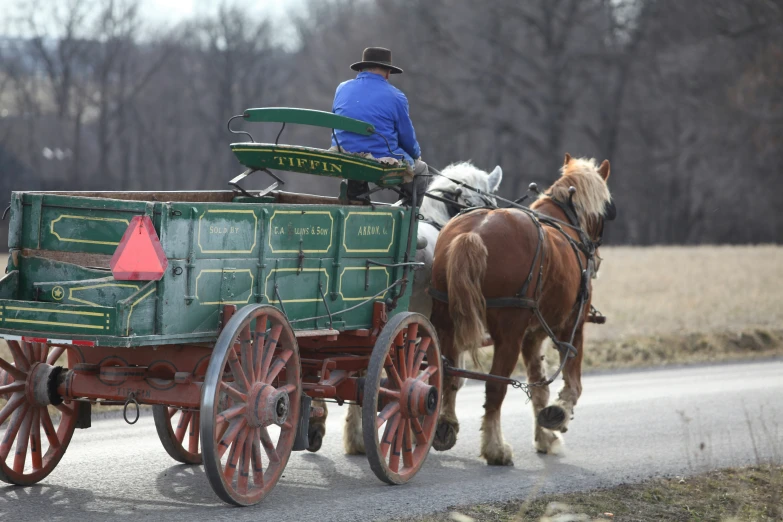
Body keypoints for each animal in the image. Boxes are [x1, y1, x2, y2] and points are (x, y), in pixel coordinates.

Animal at [432, 154, 616, 464]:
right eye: (607, 210)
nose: (597, 259)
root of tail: (472, 235)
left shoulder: (533, 335)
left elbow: (538, 385)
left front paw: (545, 437)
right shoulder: (571, 326)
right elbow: (572, 383)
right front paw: (559, 414)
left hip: (447, 323)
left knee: (448, 375)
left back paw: (445, 425)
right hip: (509, 335)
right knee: (494, 387)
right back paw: (495, 448)